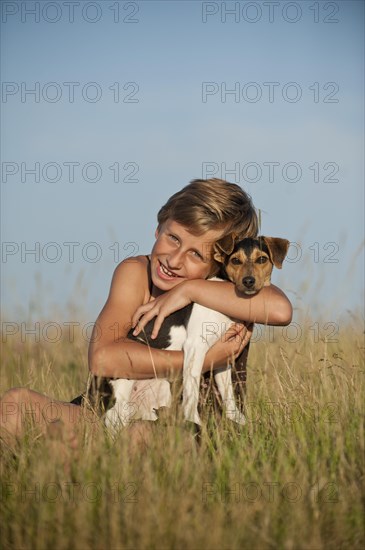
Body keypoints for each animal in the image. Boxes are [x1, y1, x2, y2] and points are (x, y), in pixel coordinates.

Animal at [104, 237, 288, 436]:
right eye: (235, 260)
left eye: (262, 259)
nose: (248, 281)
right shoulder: (196, 346)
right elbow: (192, 394)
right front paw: (195, 422)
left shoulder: (222, 360)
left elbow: (228, 394)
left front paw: (237, 419)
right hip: (123, 386)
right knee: (114, 421)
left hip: (160, 393)